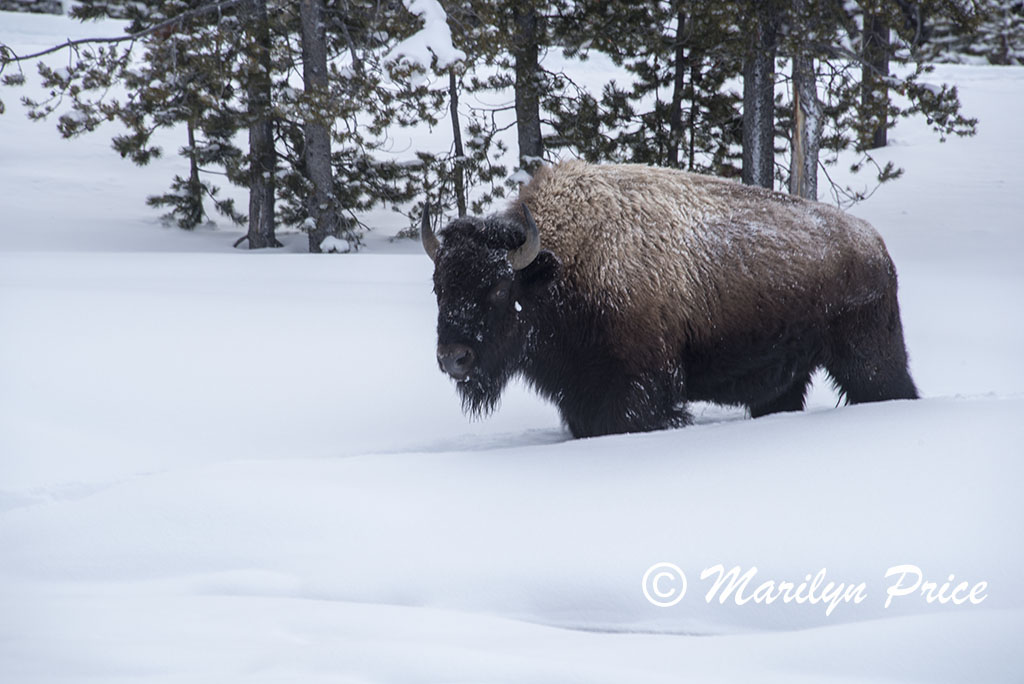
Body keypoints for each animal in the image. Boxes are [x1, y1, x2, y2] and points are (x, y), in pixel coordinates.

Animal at [422, 161, 918, 438]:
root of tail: (875, 245)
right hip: (785, 381)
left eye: (500, 288)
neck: (566, 264)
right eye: (439, 286)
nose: (453, 358)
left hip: (868, 359)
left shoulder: (638, 390)